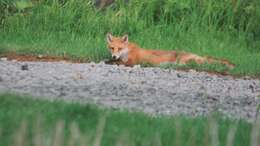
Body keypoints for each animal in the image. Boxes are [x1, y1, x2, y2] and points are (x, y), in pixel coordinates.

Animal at [104, 33, 235, 68]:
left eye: (120, 48)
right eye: (112, 48)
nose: (114, 56)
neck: (127, 52)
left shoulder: (132, 62)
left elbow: (117, 63)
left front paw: (109, 61)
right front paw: (108, 60)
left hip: (184, 60)